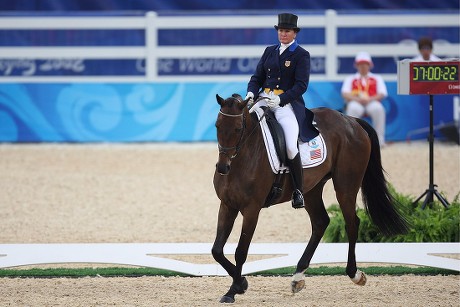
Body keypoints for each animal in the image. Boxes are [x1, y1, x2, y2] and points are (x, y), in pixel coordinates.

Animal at [210, 93, 408, 304]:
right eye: (217, 125)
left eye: (238, 128)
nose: (222, 168)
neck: (242, 159)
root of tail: (350, 120)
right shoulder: (227, 205)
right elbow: (217, 250)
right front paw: (240, 284)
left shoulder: (251, 210)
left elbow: (240, 251)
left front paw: (235, 289)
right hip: (312, 190)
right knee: (321, 222)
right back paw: (298, 277)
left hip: (346, 186)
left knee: (352, 223)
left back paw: (355, 274)